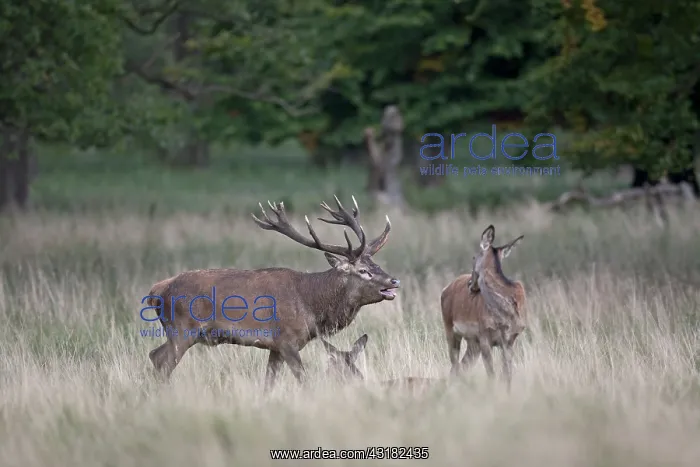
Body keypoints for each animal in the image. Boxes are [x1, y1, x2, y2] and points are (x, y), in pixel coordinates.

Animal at [142, 195, 400, 391]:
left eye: (376, 264)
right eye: (364, 270)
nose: (394, 281)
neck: (312, 305)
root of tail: (157, 290)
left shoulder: (274, 347)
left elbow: (269, 383)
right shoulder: (287, 340)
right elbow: (303, 380)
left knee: (154, 355)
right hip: (183, 329)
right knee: (161, 360)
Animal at [440, 225, 525, 390]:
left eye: (474, 257)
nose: (470, 284)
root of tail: (445, 289)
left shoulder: (510, 339)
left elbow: (507, 376)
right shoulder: (484, 336)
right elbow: (491, 375)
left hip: (473, 342)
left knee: (462, 365)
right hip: (450, 329)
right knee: (455, 366)